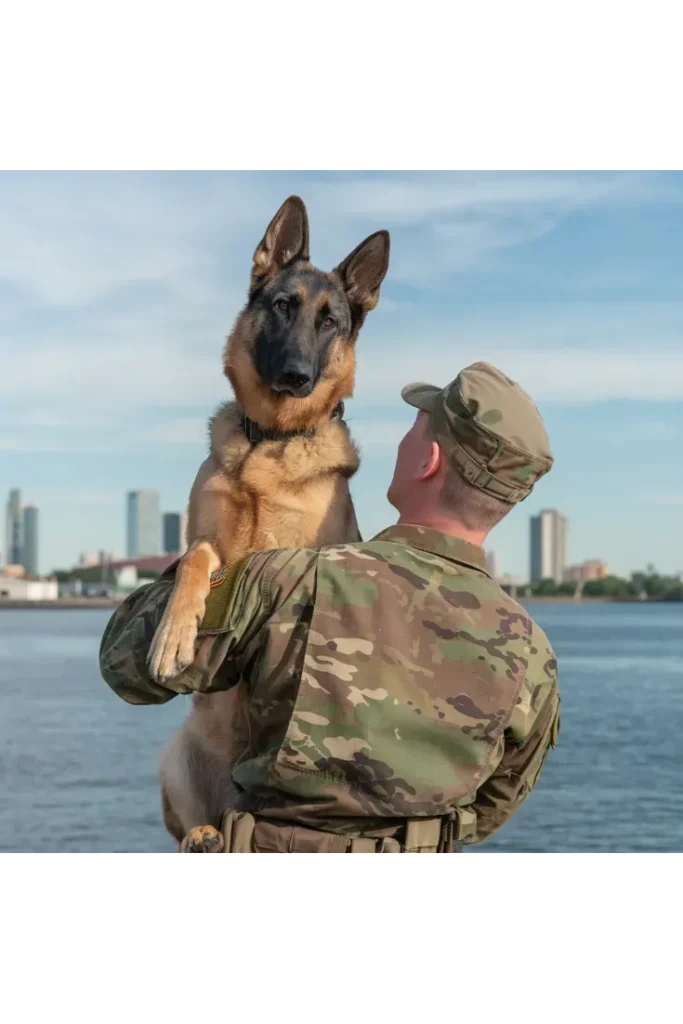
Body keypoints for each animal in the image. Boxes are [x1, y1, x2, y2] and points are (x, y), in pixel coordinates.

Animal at [147, 195, 393, 851]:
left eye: (331, 322)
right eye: (283, 306)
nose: (297, 376)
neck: (270, 443)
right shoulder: (203, 540)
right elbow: (195, 562)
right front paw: (172, 635)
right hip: (177, 756)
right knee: (190, 818)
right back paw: (202, 833)